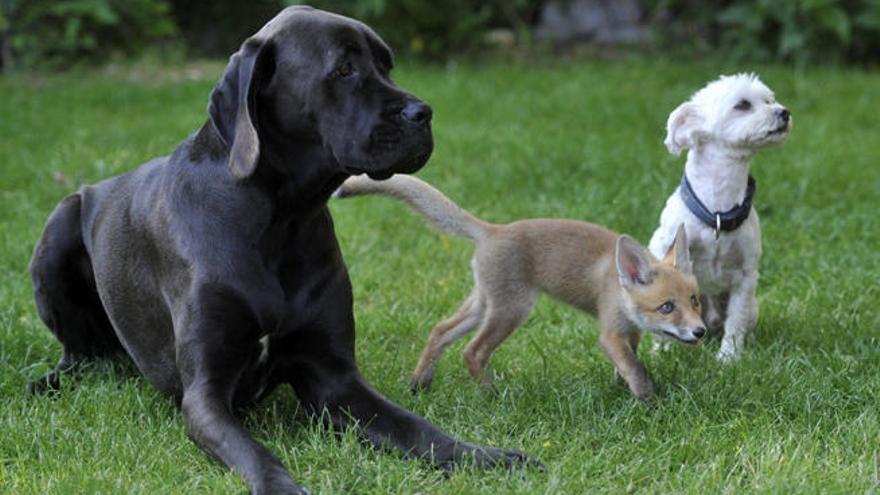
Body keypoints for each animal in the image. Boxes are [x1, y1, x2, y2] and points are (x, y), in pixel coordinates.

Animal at [648, 72, 792, 360]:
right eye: (743, 105)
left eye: (768, 100)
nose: (784, 112)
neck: (716, 211)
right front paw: (660, 351)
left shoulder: (746, 277)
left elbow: (736, 320)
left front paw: (729, 357)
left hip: (751, 306)